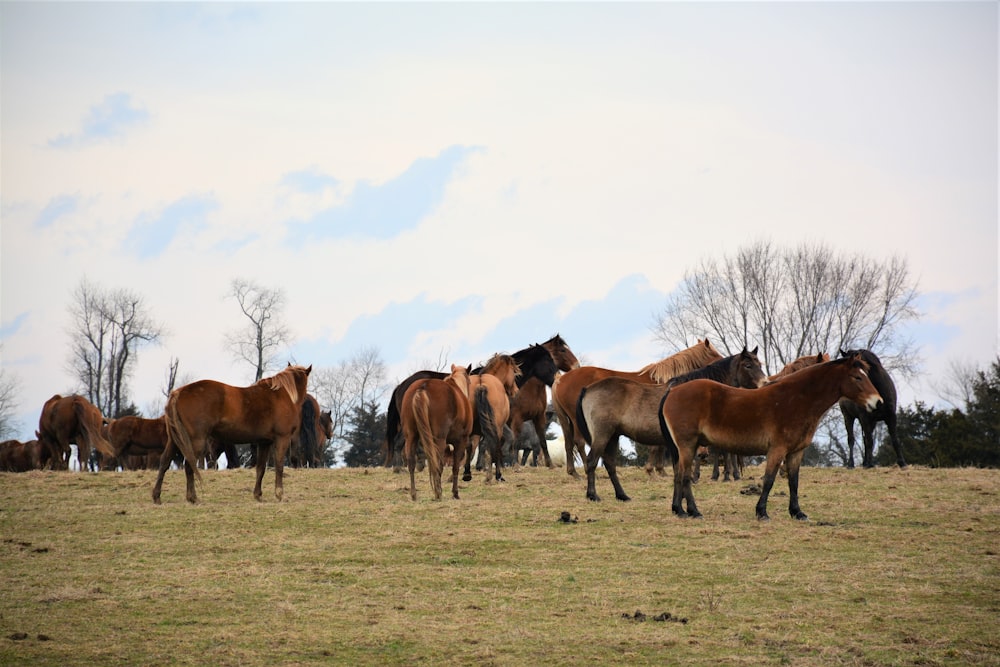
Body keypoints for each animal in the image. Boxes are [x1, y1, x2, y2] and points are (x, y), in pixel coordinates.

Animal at [153, 368, 312, 504]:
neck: (282, 395)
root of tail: (178, 392)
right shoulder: (282, 439)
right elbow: (279, 466)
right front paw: (280, 494)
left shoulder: (264, 443)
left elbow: (260, 468)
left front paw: (258, 495)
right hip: (195, 441)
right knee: (188, 465)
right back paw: (193, 498)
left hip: (174, 440)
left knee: (164, 462)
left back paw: (157, 496)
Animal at [400, 366, 474, 500]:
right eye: (470, 381)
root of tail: (423, 386)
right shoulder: (461, 440)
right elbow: (456, 466)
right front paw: (456, 491)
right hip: (439, 440)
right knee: (437, 464)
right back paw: (438, 493)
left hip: (411, 436)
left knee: (411, 462)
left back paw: (414, 494)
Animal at [552, 340, 724, 480]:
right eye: (716, 355)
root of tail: (561, 379)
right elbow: (657, 446)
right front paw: (652, 470)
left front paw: (660, 470)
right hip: (577, 420)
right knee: (579, 443)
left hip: (566, 420)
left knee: (568, 443)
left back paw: (574, 473)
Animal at [576, 350, 760, 500]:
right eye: (748, 365)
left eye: (760, 364)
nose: (763, 384)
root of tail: (587, 389)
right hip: (603, 435)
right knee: (592, 461)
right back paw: (593, 495)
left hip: (613, 436)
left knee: (609, 464)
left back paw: (622, 495)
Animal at [664, 354, 884, 520]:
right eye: (857, 377)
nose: (878, 402)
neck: (796, 399)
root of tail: (673, 391)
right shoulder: (777, 449)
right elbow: (769, 480)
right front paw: (761, 512)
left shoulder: (796, 452)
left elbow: (793, 481)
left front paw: (797, 512)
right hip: (687, 446)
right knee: (685, 476)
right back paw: (693, 511)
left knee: (678, 475)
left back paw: (679, 510)